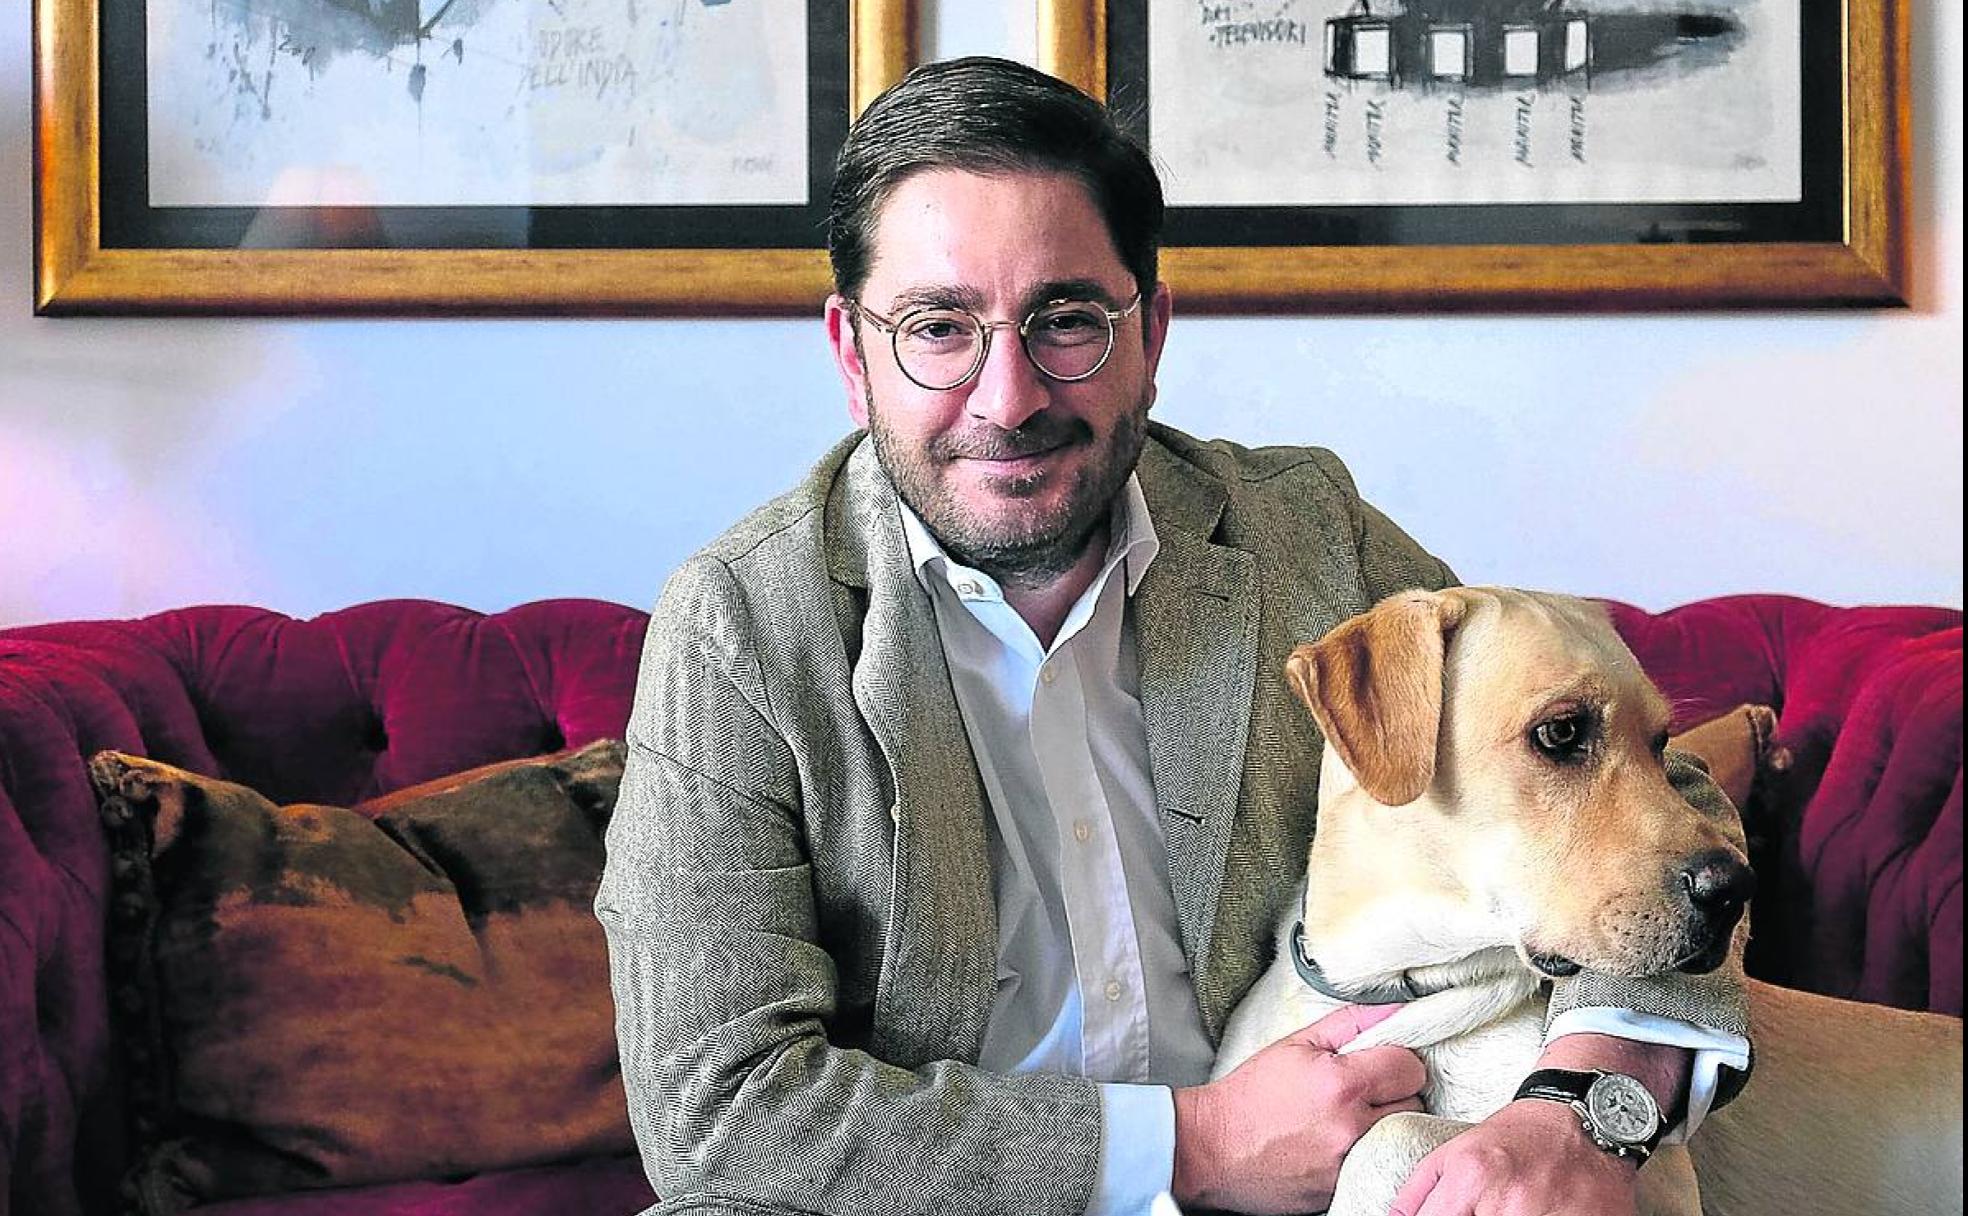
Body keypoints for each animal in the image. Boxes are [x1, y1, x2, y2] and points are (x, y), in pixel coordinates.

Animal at [1212, 586, 1968, 1212]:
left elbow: (1391, 1132)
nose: (1735, 891)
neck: (1403, 980)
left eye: (1662, 744)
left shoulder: (1660, 1188)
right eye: (1562, 731)